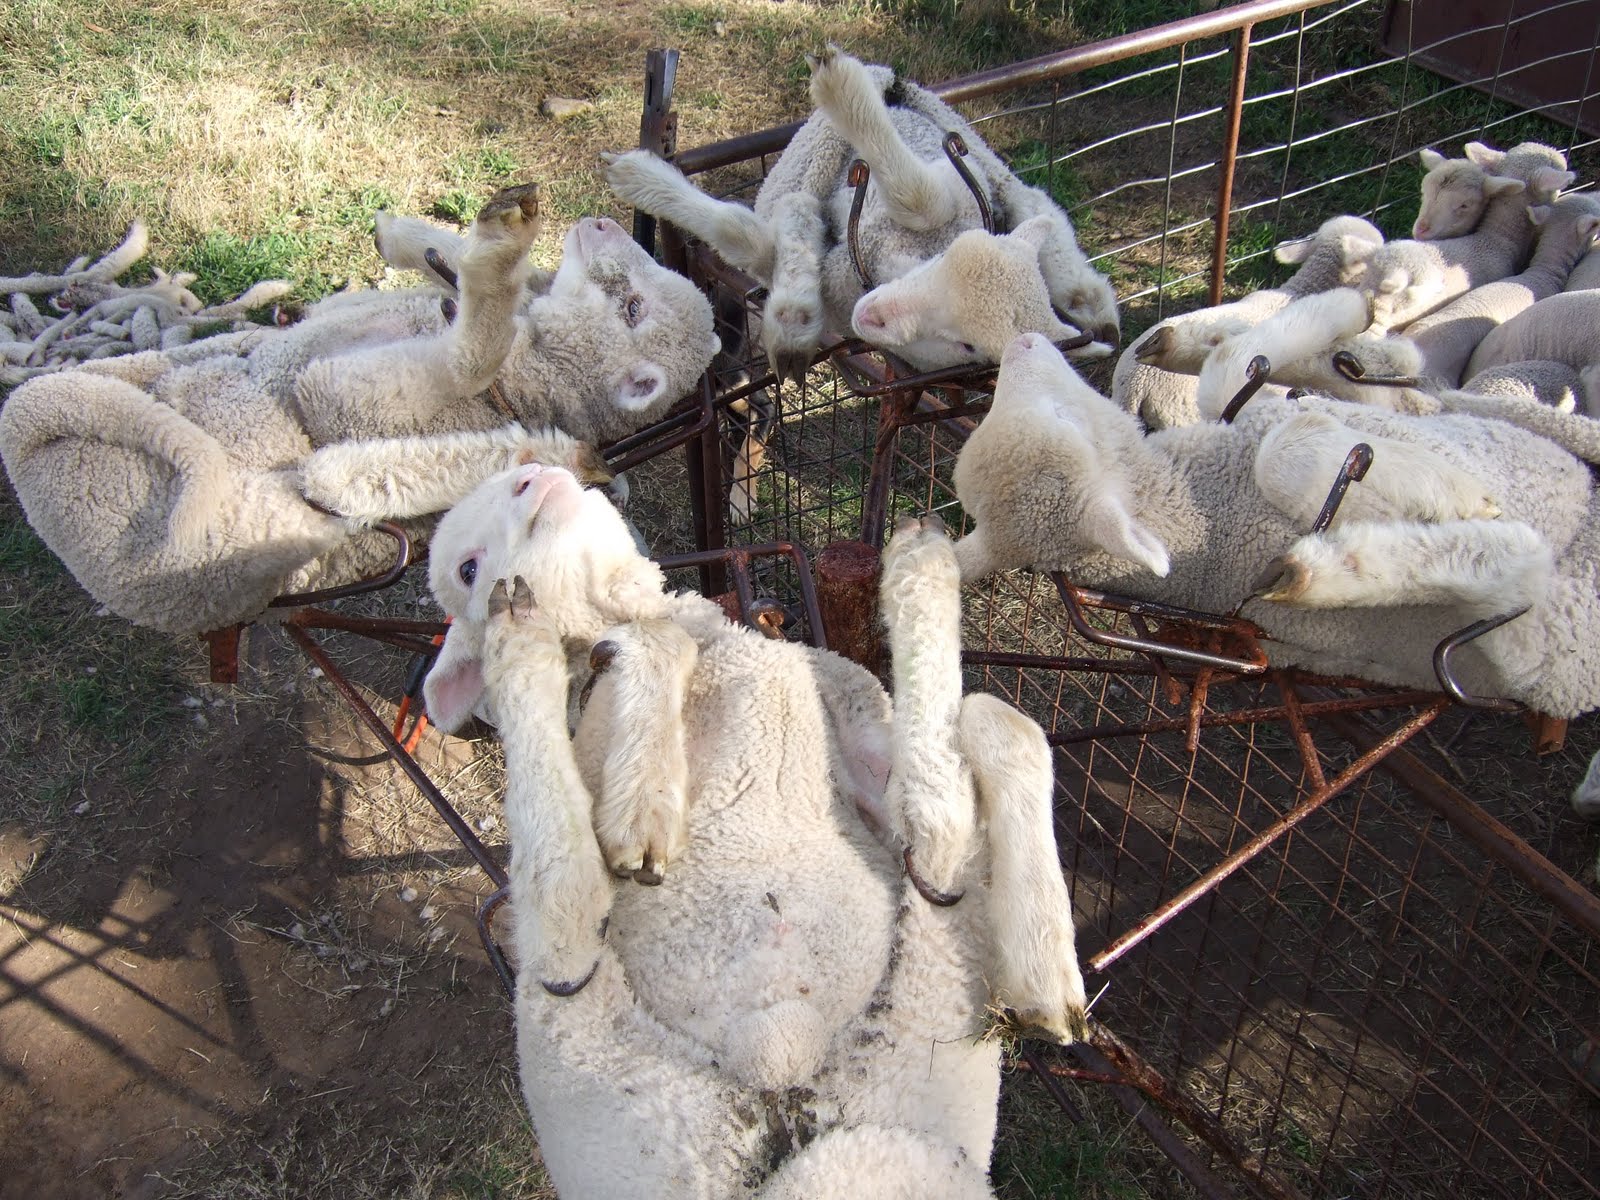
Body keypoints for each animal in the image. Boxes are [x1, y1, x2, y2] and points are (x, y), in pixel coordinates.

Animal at [0, 183, 717, 634]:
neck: (534, 373)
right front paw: (430, 236)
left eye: (634, 309)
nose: (601, 222)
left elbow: (465, 359)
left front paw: (494, 259)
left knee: (331, 483)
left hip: (226, 515)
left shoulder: (345, 396)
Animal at [418, 461, 1089, 1197]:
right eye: (467, 567)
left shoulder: (856, 724)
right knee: (563, 904)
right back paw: (518, 636)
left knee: (960, 798)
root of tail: (777, 1043)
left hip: (933, 1001)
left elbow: (997, 726)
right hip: (594, 1039)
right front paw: (642, 805)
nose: (533, 476)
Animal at [605, 45, 1117, 379]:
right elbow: (916, 194)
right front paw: (636, 176)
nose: (876, 315)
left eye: (969, 346)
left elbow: (748, 236)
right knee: (1034, 199)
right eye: (948, 258)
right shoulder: (950, 183)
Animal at [950, 329, 1600, 719]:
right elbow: (1282, 451)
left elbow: (1229, 379)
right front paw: (1452, 496)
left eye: (1063, 414)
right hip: (1552, 648)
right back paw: (1338, 566)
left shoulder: (1237, 417)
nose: (1022, 341)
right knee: (1524, 578)